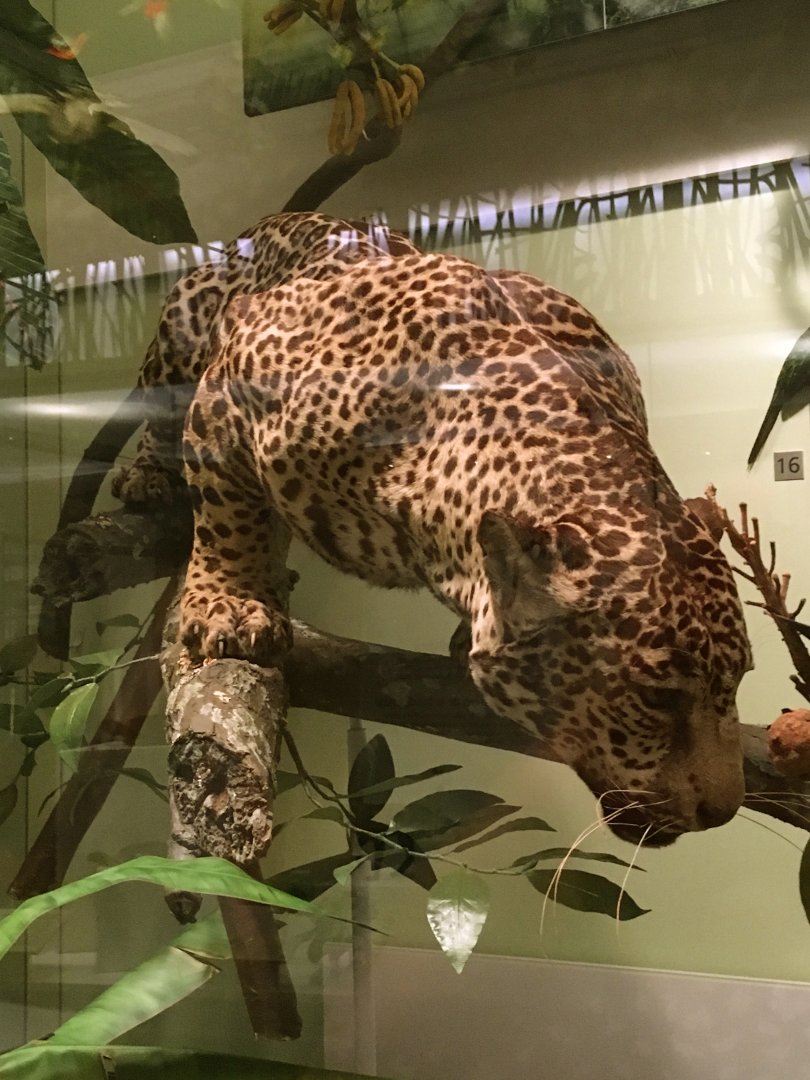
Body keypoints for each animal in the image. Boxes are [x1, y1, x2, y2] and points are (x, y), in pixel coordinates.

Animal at [114, 210, 752, 847]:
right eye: (659, 698)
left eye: (740, 679)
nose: (723, 812)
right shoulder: (230, 380)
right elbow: (227, 510)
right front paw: (230, 604)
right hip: (180, 325)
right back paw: (145, 475)